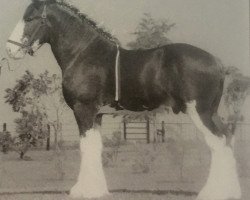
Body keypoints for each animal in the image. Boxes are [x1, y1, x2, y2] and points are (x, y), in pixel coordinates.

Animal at [5, 0, 241, 199]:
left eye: (30, 18)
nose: (9, 49)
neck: (84, 53)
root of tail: (217, 62)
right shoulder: (97, 114)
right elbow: (96, 147)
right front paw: (97, 190)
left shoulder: (83, 110)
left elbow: (86, 147)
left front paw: (82, 191)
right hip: (211, 112)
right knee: (227, 139)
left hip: (199, 112)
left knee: (218, 143)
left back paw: (213, 192)